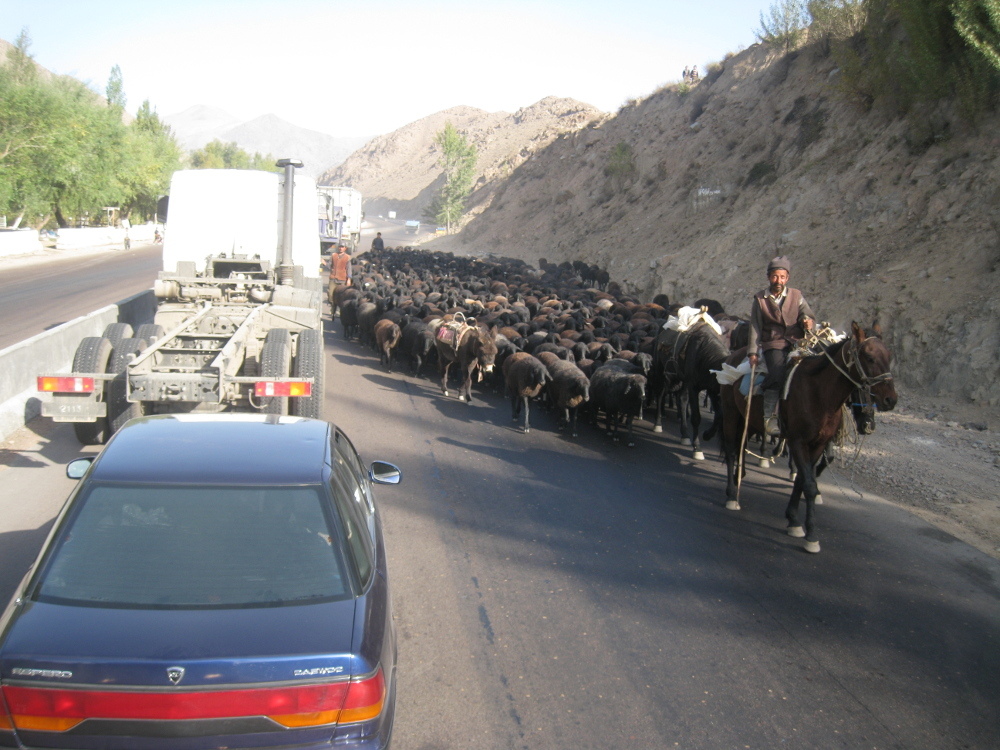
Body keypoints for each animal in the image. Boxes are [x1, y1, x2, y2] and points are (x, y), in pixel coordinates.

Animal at [720, 320, 900, 556]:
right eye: (869, 357)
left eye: (888, 355)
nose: (890, 400)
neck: (819, 392)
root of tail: (734, 355)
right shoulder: (798, 441)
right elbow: (809, 484)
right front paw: (811, 535)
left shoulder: (818, 444)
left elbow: (803, 480)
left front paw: (793, 519)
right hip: (731, 412)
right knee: (731, 449)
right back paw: (732, 495)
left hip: (749, 419)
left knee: (741, 446)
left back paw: (739, 478)